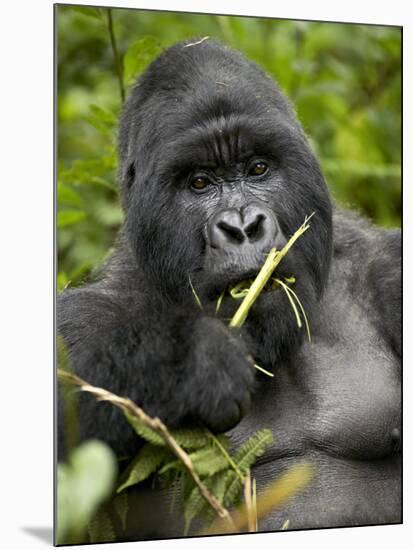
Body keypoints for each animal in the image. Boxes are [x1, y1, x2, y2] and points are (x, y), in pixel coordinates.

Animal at [58, 38, 400, 540]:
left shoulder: (388, 272)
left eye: (258, 168)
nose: (242, 227)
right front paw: (191, 360)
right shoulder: (87, 313)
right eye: (200, 182)